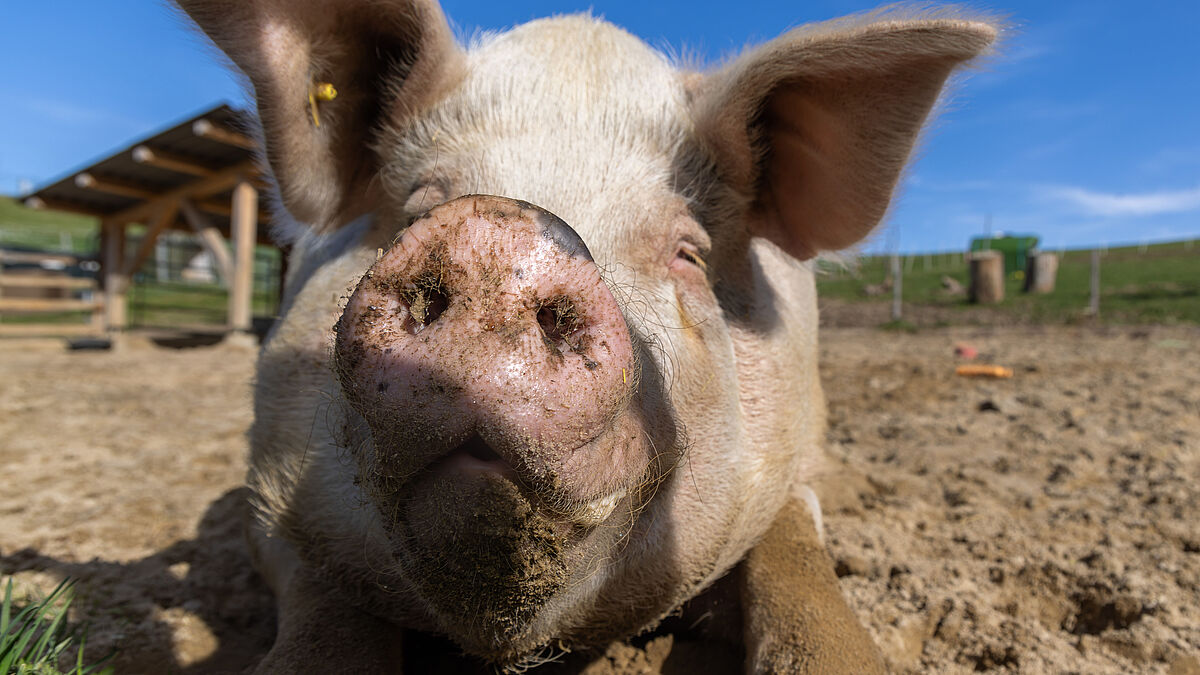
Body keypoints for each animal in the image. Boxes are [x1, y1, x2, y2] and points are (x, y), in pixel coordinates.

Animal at [180, 1, 993, 667]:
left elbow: (800, 568)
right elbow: (322, 624)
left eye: (689, 252)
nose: (500, 232)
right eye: (414, 210)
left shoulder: (785, 463)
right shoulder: (271, 493)